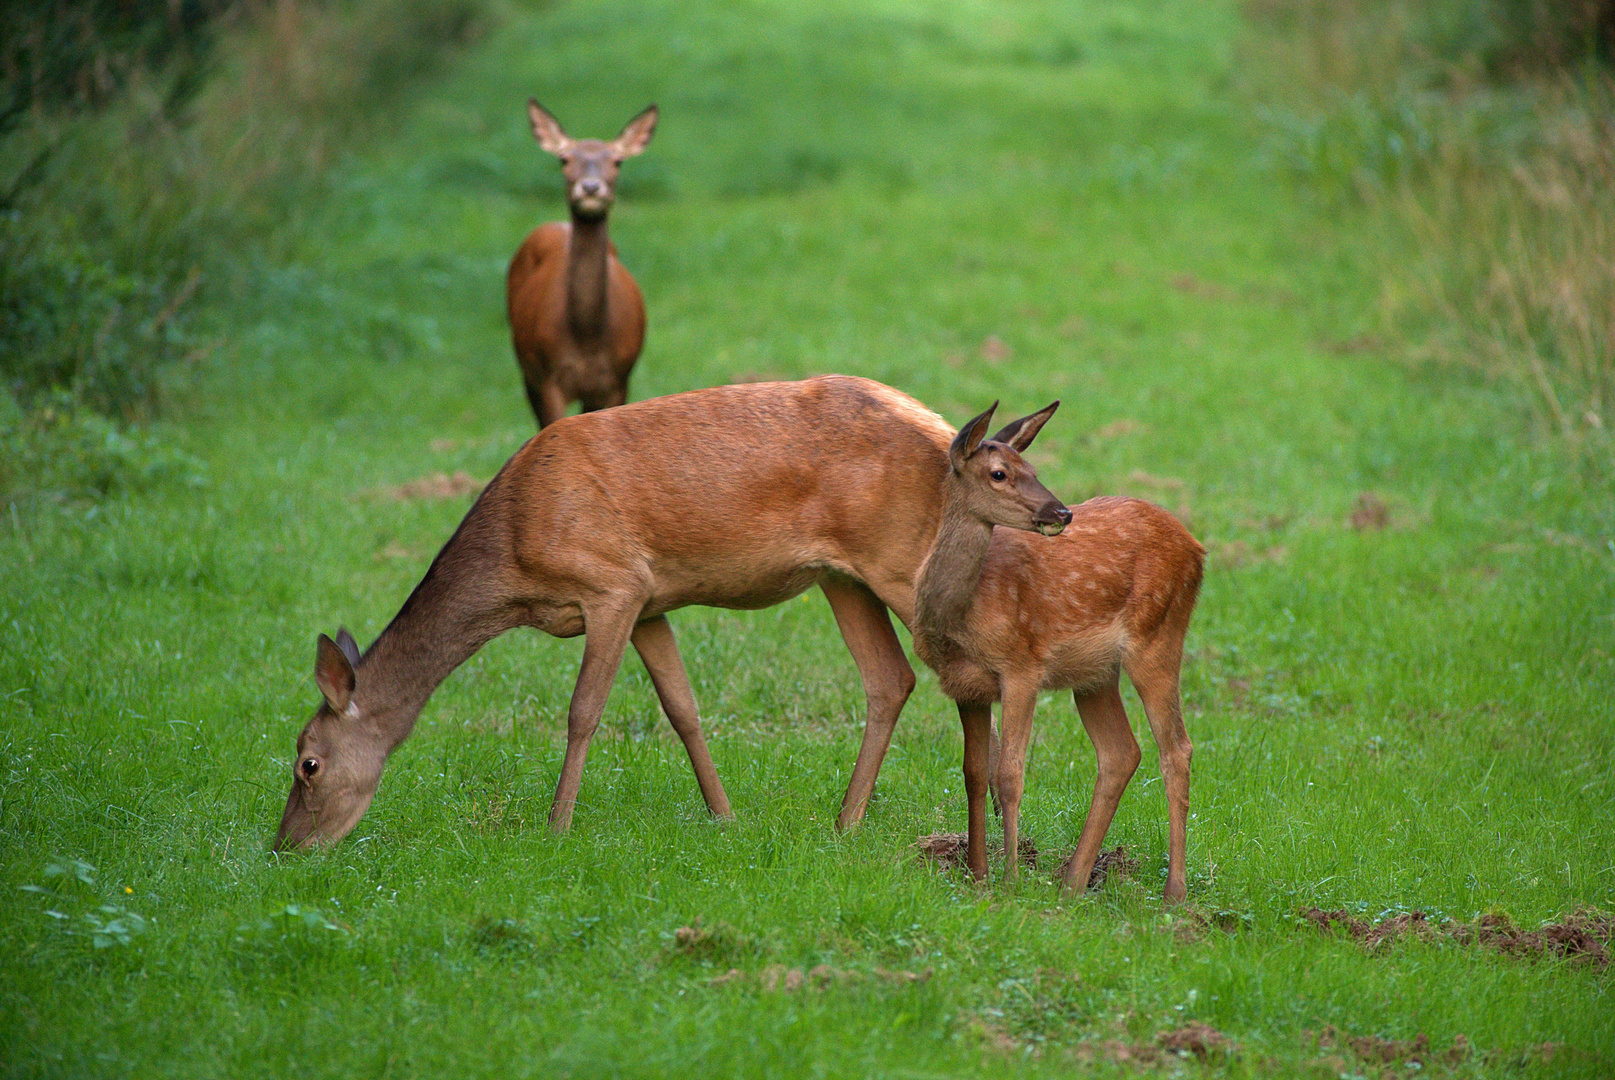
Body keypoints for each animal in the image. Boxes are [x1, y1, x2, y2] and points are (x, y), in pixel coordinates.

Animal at [272, 377, 969, 852]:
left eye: (308, 763)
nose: (285, 847)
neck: (514, 564)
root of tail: (940, 428)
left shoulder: (612, 583)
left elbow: (583, 711)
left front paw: (555, 827)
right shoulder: (651, 603)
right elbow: (683, 708)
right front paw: (724, 816)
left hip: (901, 557)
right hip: (842, 576)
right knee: (890, 678)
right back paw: (846, 821)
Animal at [503, 100, 655, 426]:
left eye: (618, 161)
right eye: (564, 159)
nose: (590, 188)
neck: (587, 341)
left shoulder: (617, 380)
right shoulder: (547, 375)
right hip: (527, 371)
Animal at [917, 401, 1208, 904]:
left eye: (1032, 468)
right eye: (999, 473)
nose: (1062, 511)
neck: (962, 616)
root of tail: (1198, 549)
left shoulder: (1022, 666)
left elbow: (1009, 775)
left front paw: (1010, 878)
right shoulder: (964, 684)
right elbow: (974, 774)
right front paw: (977, 874)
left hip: (1158, 637)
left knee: (1177, 750)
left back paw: (1174, 891)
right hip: (1095, 674)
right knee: (1121, 753)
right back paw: (1073, 880)